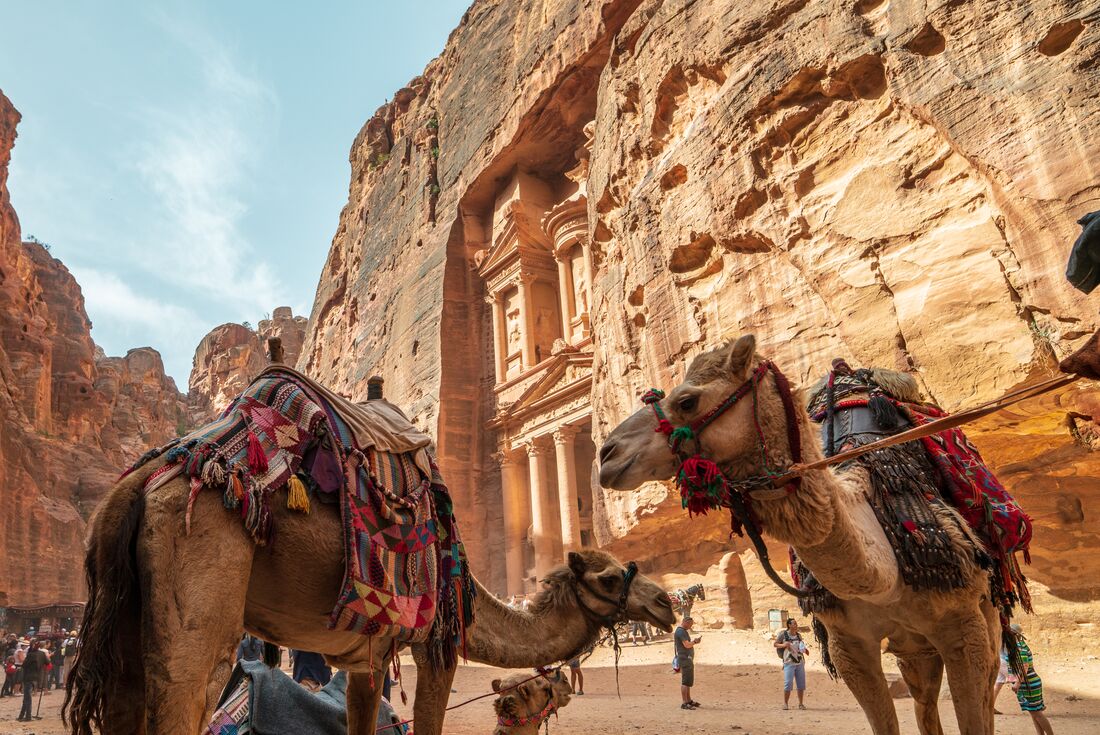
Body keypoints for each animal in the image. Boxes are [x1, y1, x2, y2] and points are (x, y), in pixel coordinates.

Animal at [63, 456, 675, 735]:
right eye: (611, 577)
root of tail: (134, 489)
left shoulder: (367, 657)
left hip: (126, 618)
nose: (667, 604)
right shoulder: (435, 644)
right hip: (200, 595)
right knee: (184, 688)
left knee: (124, 695)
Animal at [598, 335, 1000, 735]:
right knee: (924, 699)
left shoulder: (964, 630)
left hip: (985, 617)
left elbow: (975, 718)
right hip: (913, 647)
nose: (606, 454)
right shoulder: (847, 645)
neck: (888, 571)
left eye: (687, 401)